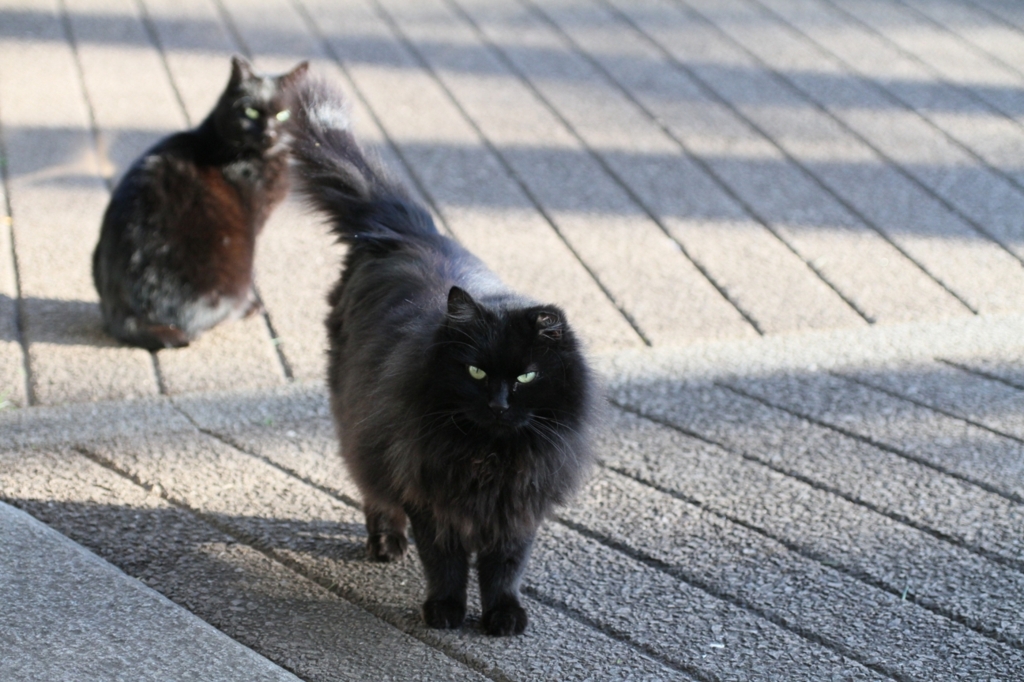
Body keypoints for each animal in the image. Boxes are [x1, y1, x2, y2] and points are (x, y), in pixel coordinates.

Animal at [93, 55, 307, 348]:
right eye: (250, 113)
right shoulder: (254, 222)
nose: (269, 134)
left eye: (283, 114)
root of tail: (126, 314)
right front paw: (254, 302)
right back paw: (245, 309)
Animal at [288, 76, 598, 634]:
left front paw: (502, 616)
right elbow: (446, 561)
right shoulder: (429, 493)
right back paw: (386, 544)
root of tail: (408, 231)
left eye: (526, 377)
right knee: (375, 492)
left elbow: (505, 567)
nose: (499, 404)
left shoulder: (519, 507)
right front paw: (447, 610)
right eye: (475, 371)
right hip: (363, 429)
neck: (490, 456)